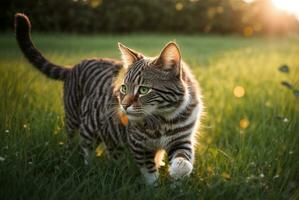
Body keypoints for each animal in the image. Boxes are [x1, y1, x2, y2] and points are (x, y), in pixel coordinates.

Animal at [15, 12, 205, 184]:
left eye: (143, 90)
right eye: (124, 88)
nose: (124, 105)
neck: (162, 119)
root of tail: (73, 66)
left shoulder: (182, 139)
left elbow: (183, 161)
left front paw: (177, 178)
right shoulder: (138, 145)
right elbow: (149, 173)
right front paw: (155, 188)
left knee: (113, 151)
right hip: (79, 124)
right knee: (81, 147)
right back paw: (86, 167)